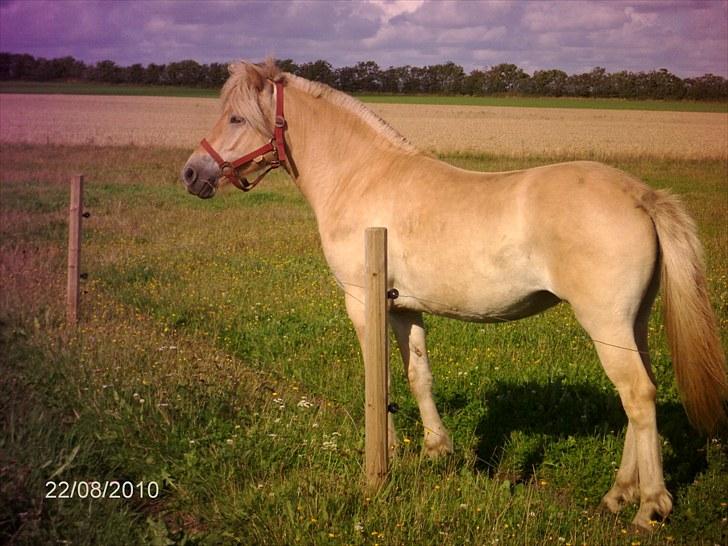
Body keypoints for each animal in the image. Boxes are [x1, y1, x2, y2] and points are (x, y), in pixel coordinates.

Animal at [179, 59, 724, 528]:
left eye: (235, 116)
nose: (191, 173)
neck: (361, 176)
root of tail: (642, 196)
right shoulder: (404, 307)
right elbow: (417, 375)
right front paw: (437, 450)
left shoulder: (362, 302)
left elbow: (379, 380)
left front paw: (385, 462)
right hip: (631, 324)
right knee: (639, 396)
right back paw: (619, 494)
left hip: (605, 322)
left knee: (638, 396)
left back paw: (649, 505)